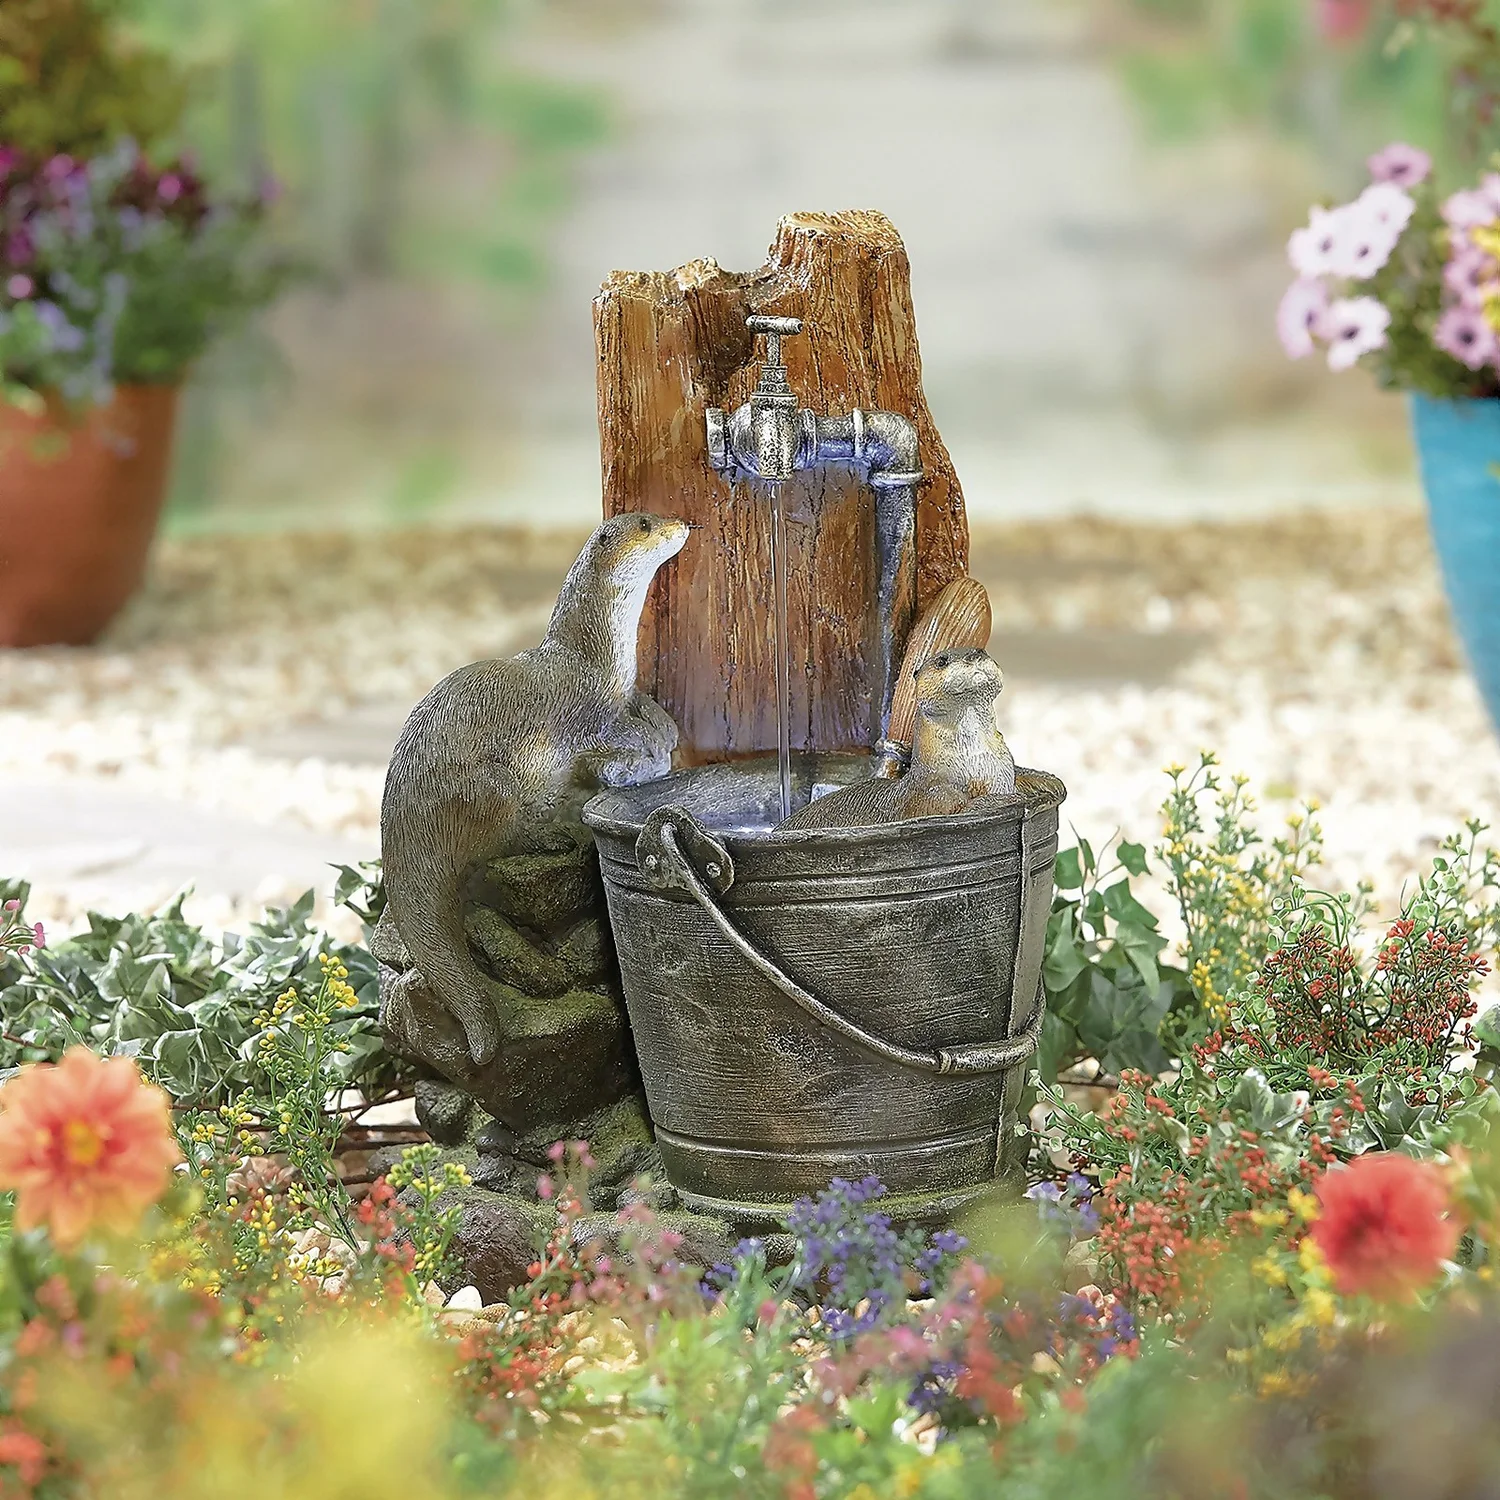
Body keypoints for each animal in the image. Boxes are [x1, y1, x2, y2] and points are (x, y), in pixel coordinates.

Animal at [380, 513, 689, 1066]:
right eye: (645, 523)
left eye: (657, 515)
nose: (680, 523)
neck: (593, 660)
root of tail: (400, 817)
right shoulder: (588, 715)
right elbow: (616, 735)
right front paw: (647, 742)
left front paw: (661, 726)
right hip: (489, 788)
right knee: (492, 845)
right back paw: (551, 836)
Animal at [775, 647, 1016, 831]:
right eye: (942, 660)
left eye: (983, 651)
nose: (976, 654)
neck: (972, 765)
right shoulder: (931, 793)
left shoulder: (1000, 777)